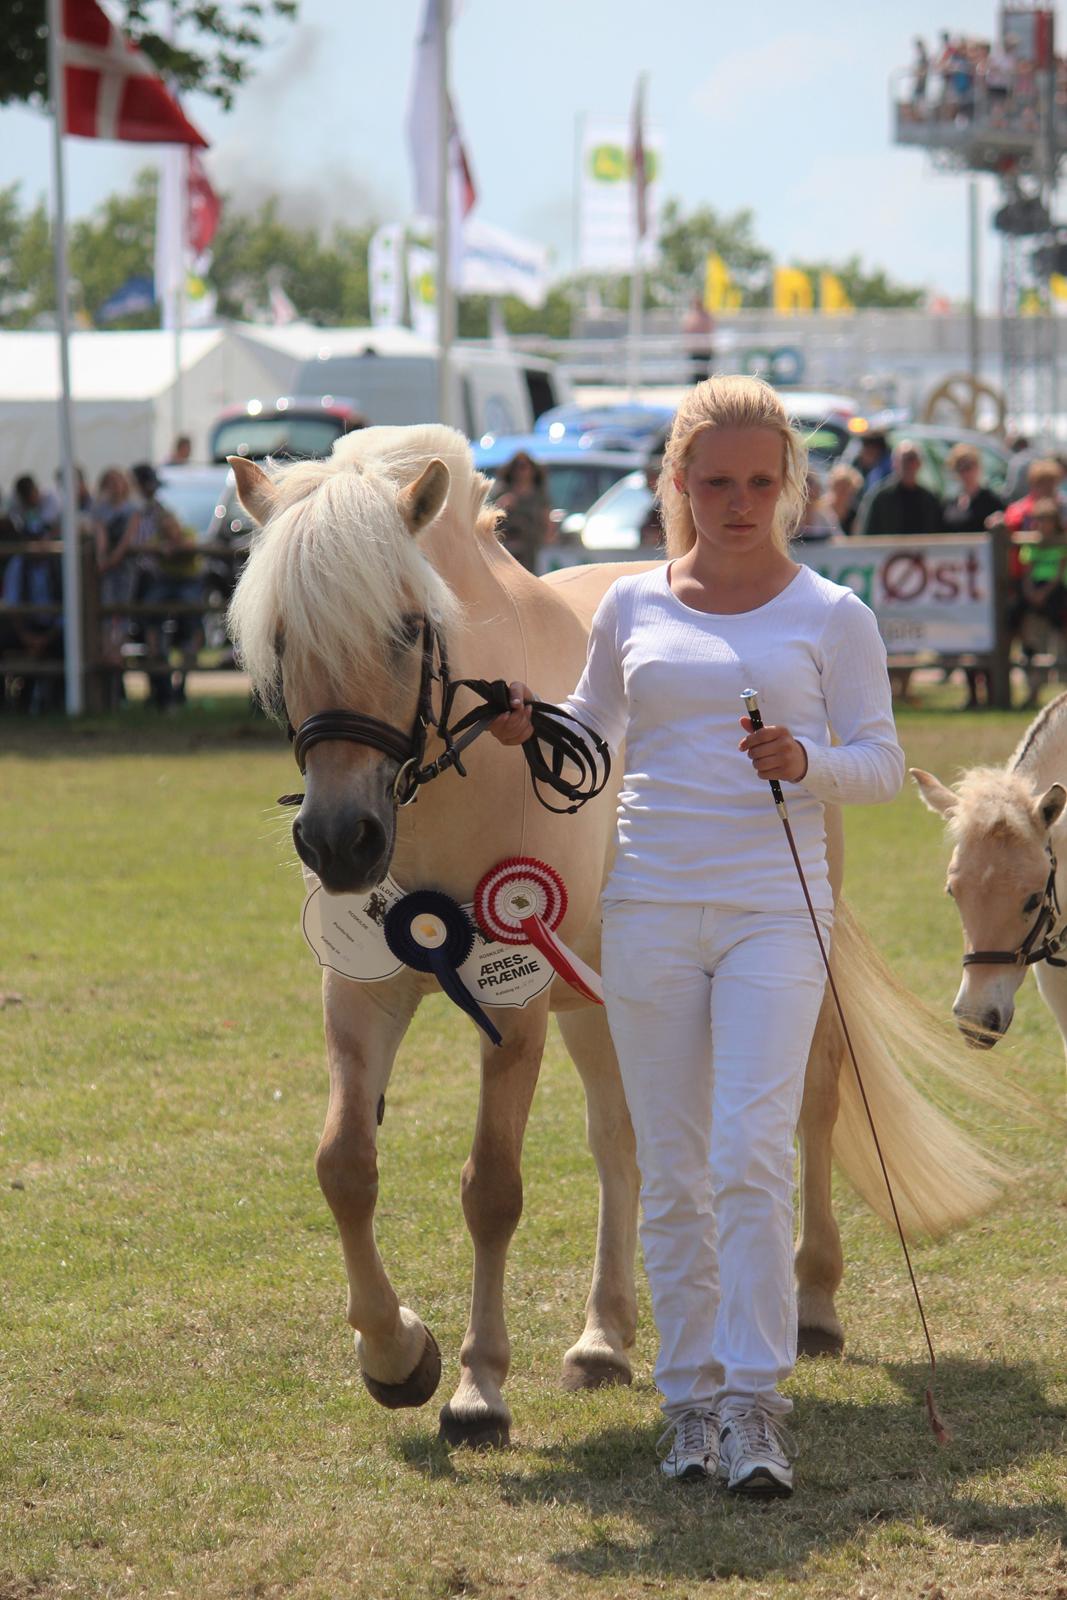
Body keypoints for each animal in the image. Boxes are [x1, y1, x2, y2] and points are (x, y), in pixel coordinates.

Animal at [230, 425, 1004, 1452]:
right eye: (280, 637)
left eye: (404, 628)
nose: (337, 840)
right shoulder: (364, 993)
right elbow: (344, 1168)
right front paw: (396, 1357)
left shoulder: (513, 1005)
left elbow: (492, 1190)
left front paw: (476, 1388)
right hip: (603, 998)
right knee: (620, 1141)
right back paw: (603, 1338)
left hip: (791, 965)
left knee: (808, 1109)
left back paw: (810, 1306)